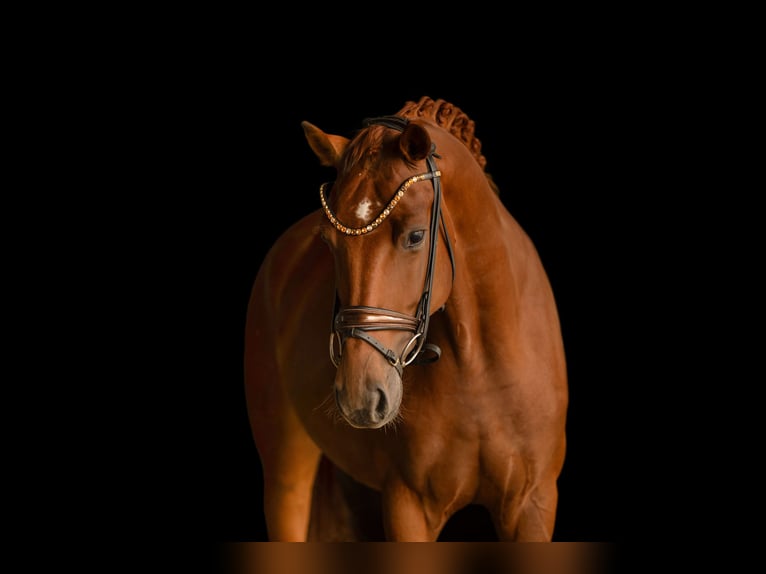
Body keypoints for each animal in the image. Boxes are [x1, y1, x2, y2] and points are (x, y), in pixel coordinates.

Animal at [244, 96, 568, 541]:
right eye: (329, 242)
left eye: (416, 236)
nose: (360, 395)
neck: (483, 369)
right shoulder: (408, 505)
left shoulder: (532, 505)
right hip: (285, 473)